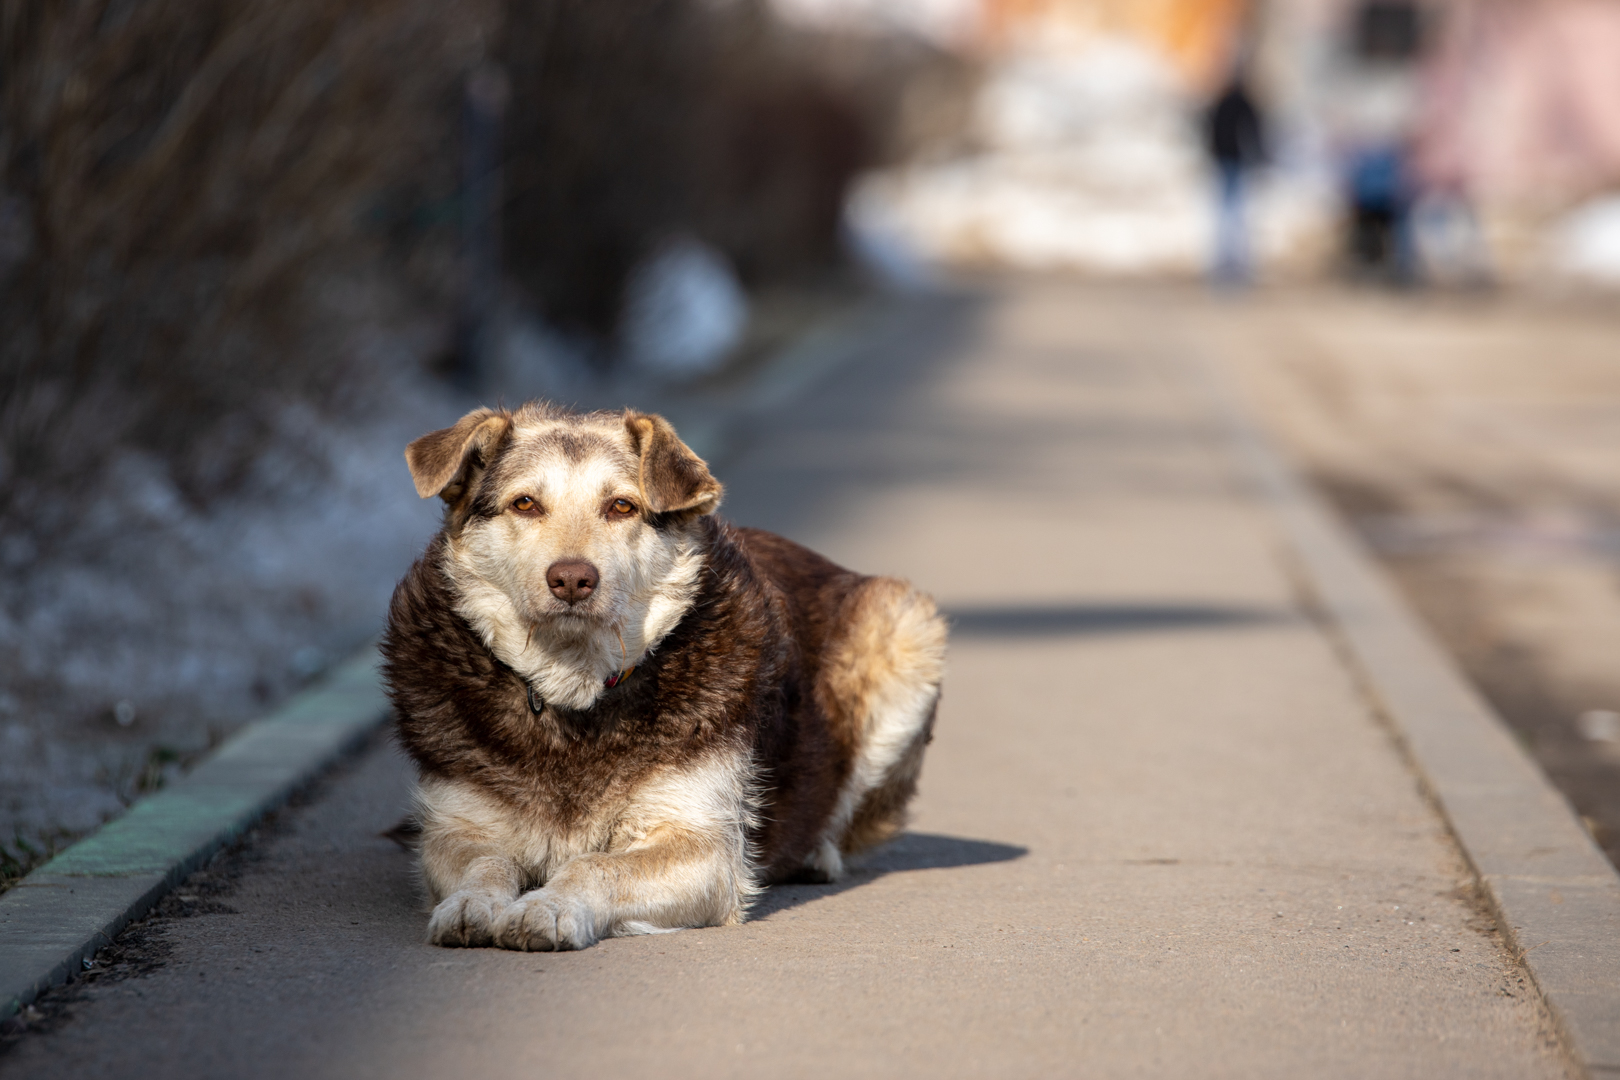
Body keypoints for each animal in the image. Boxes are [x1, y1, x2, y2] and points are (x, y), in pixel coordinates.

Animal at [380, 401, 946, 952]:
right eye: (524, 504)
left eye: (621, 507)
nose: (572, 580)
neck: (574, 689)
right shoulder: (456, 828)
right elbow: (485, 862)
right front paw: (472, 903)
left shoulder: (703, 847)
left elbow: (594, 866)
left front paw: (549, 906)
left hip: (909, 626)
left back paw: (815, 853)